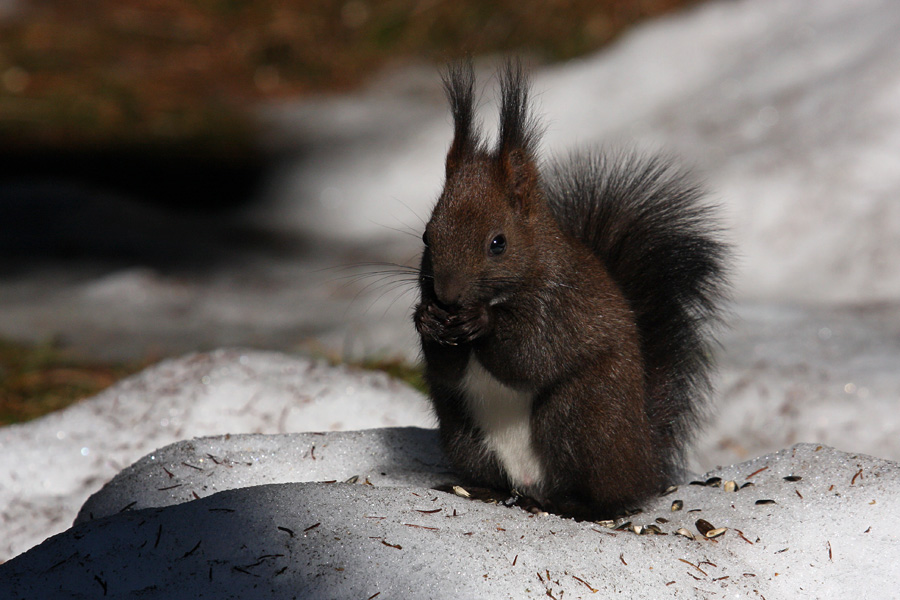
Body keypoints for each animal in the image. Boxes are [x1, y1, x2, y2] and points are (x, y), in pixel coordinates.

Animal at [414, 62, 732, 520]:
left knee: (604, 493)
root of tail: (645, 462)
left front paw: (481, 321)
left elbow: (532, 358)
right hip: (465, 433)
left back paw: (576, 505)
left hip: (582, 417)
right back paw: (480, 491)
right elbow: (446, 369)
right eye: (426, 236)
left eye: (498, 243)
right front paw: (427, 320)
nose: (448, 296)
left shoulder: (561, 306)